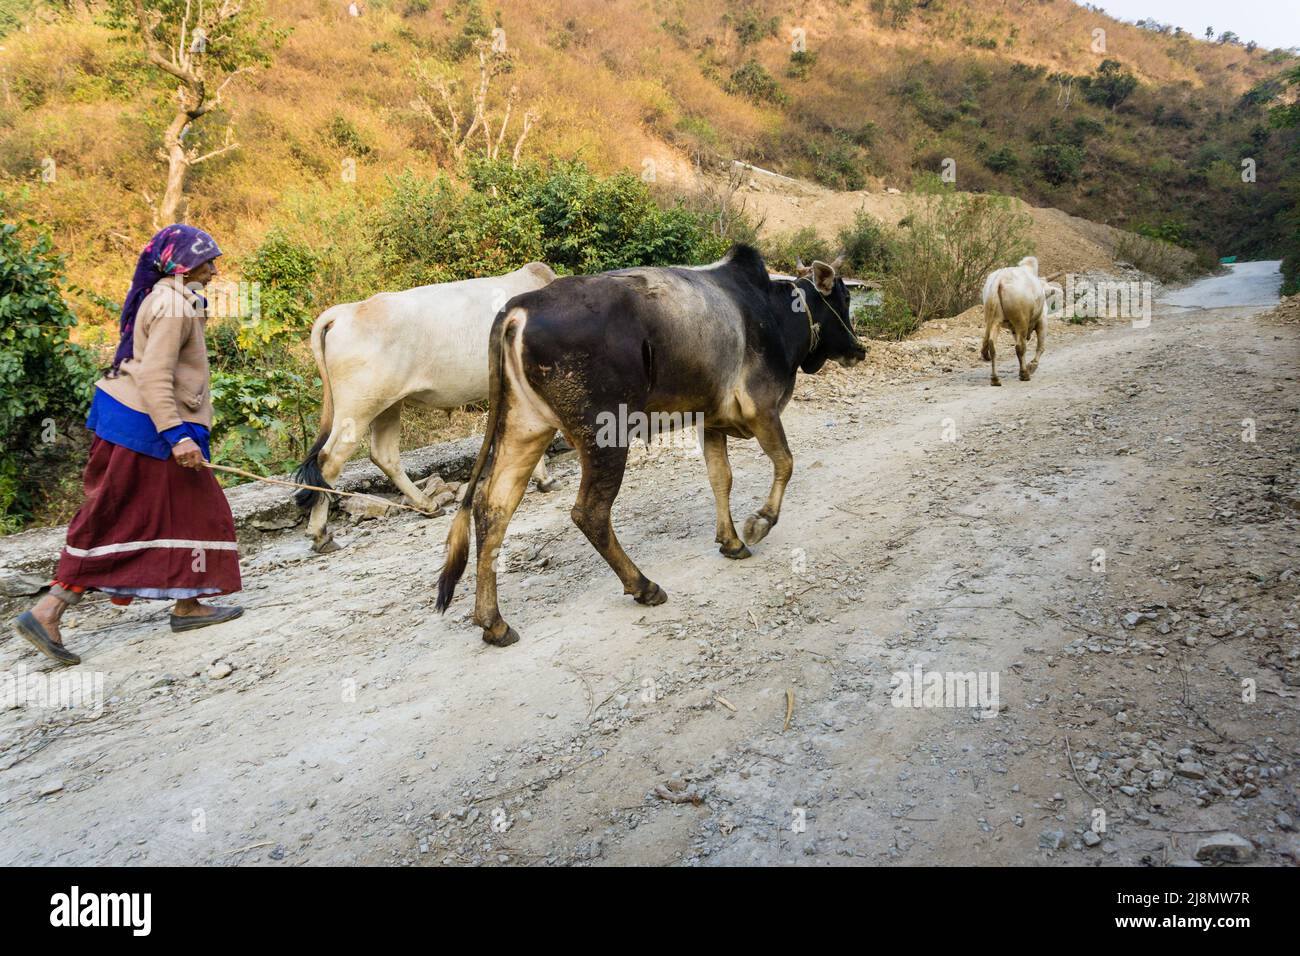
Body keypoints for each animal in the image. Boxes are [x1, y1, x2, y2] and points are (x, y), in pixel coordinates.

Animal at [295, 264, 559, 554]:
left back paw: (428, 505)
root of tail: (344, 312)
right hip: (358, 409)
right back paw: (321, 534)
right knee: (329, 461)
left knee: (383, 455)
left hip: (388, 406)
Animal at [977, 257, 1050, 390]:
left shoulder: (1013, 329)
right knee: (1020, 347)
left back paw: (995, 379)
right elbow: (1040, 347)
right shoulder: (1042, 321)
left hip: (995, 320)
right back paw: (1025, 374)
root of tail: (1000, 279)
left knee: (992, 344)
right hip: (1020, 321)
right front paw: (1032, 366)